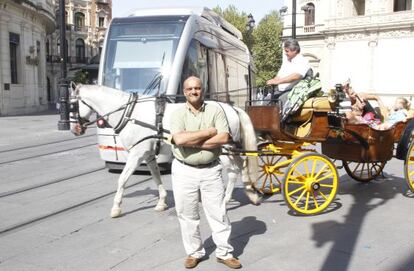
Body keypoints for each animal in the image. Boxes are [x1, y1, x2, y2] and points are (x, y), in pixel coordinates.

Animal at [70, 85, 260, 219]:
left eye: (71, 105)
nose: (74, 129)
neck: (130, 114)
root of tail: (233, 109)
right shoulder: (148, 155)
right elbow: (156, 177)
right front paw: (161, 202)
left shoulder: (136, 154)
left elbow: (122, 179)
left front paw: (116, 207)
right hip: (231, 148)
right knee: (242, 163)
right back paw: (250, 192)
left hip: (223, 149)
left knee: (234, 171)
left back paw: (226, 200)